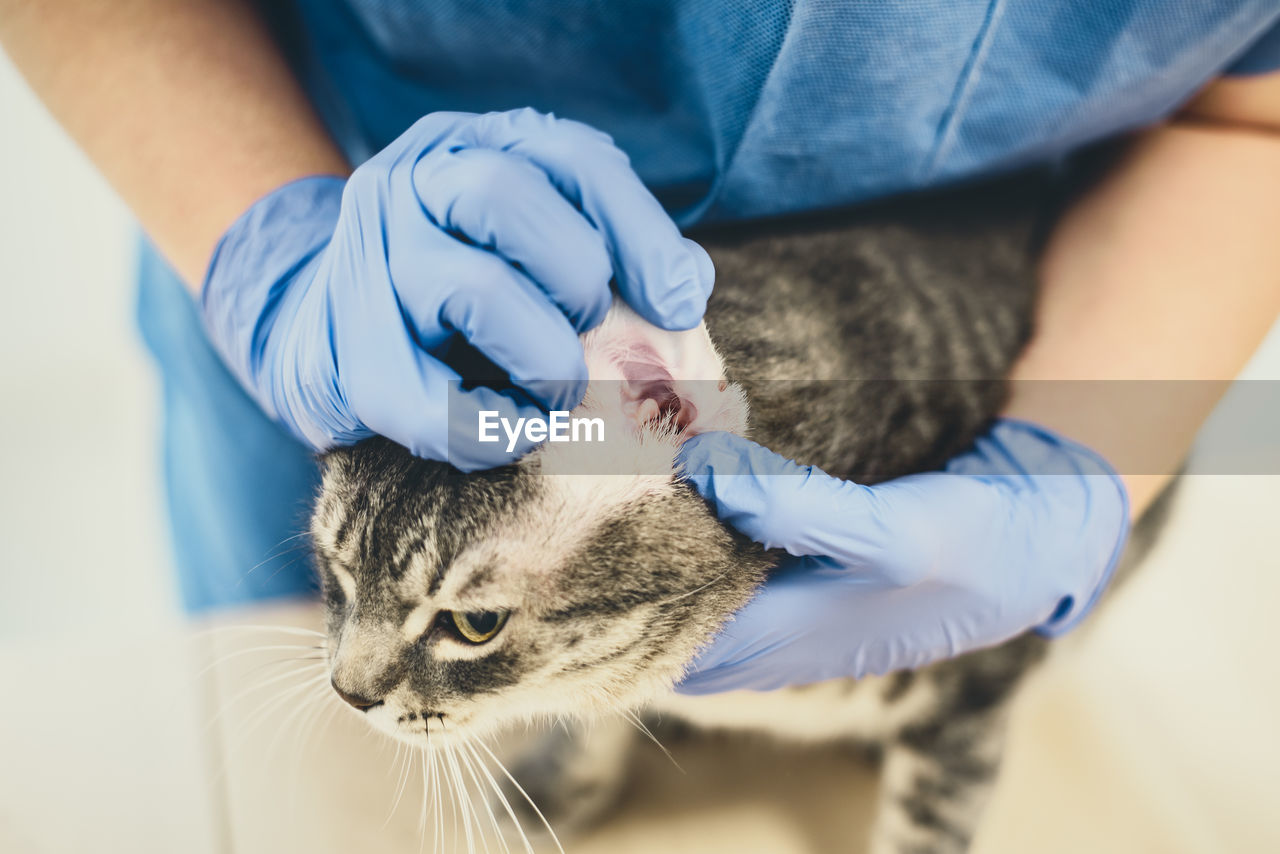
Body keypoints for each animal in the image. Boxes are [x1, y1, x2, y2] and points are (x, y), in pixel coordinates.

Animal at [312, 170, 1162, 850]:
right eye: (337, 576)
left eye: (475, 625)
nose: (347, 695)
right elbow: (593, 711)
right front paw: (555, 784)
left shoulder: (981, 683)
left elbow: (928, 822)